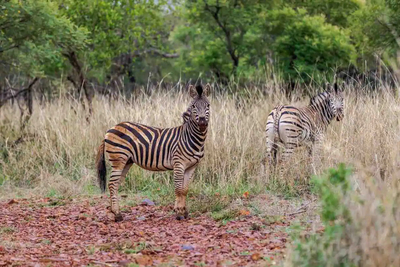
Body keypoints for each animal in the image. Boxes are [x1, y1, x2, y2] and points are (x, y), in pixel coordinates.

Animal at [95, 84, 211, 222]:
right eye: (193, 106)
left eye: (208, 105)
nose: (202, 121)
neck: (191, 138)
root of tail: (111, 128)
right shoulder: (178, 164)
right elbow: (178, 189)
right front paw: (178, 213)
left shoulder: (192, 166)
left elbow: (185, 190)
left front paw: (184, 212)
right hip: (118, 159)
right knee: (112, 184)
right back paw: (117, 214)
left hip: (127, 161)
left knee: (115, 184)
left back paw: (114, 212)